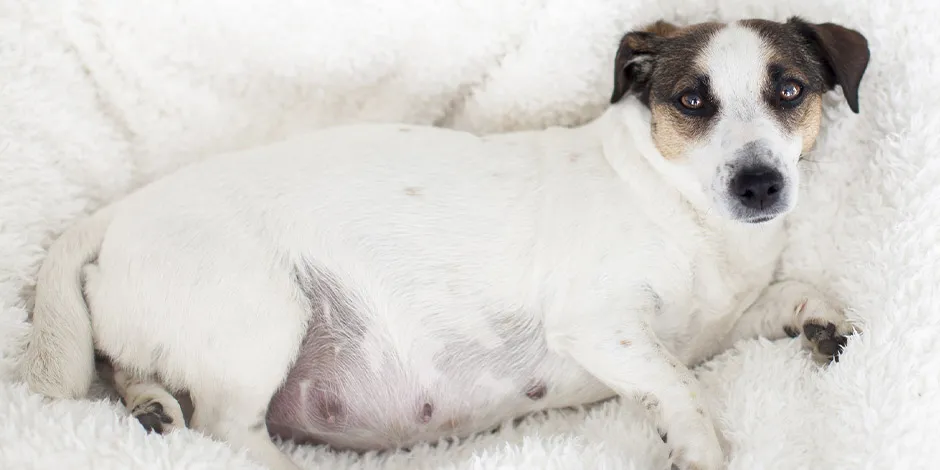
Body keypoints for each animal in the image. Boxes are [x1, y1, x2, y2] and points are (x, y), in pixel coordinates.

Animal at [23, 16, 868, 470]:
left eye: (789, 90)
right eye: (692, 101)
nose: (759, 185)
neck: (682, 211)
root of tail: (118, 214)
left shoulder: (715, 325)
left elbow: (782, 298)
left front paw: (822, 320)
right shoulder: (603, 326)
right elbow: (679, 385)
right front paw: (697, 443)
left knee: (134, 367)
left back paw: (150, 408)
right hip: (262, 317)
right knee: (227, 430)